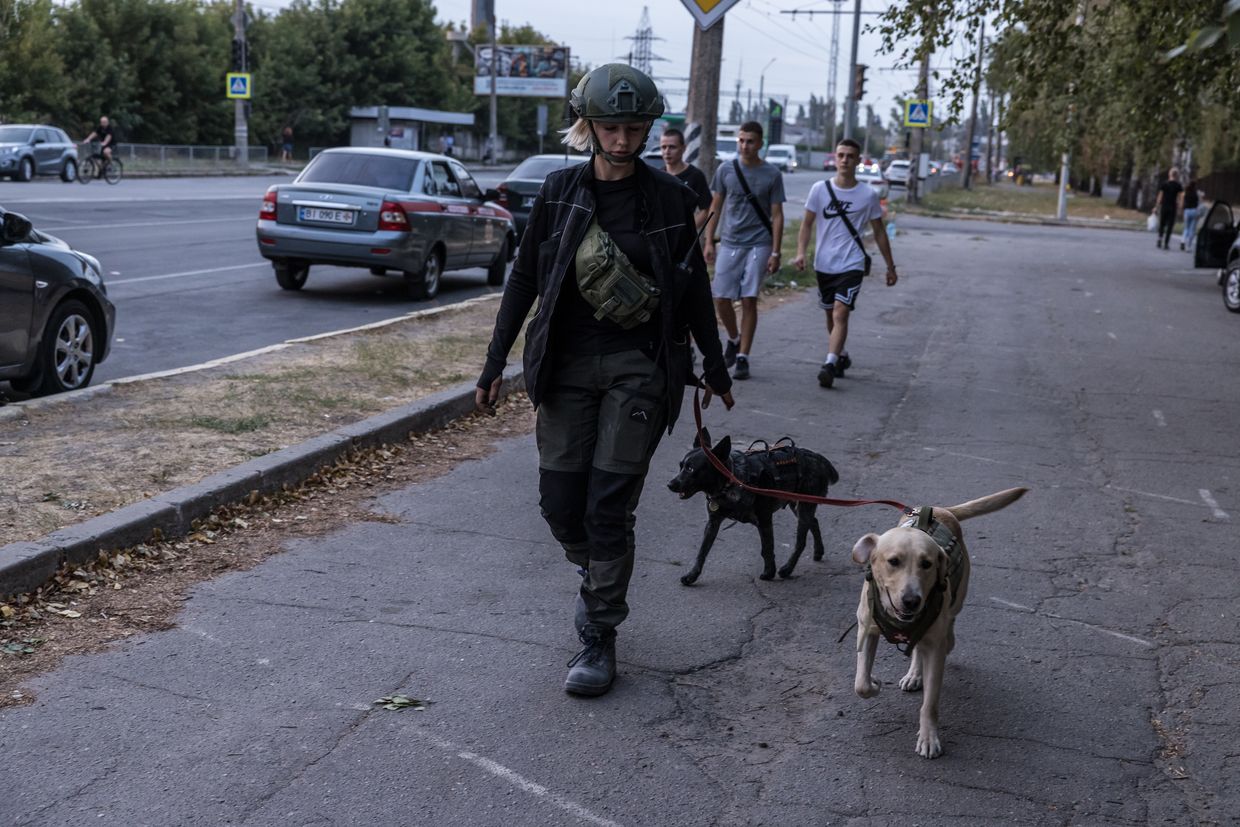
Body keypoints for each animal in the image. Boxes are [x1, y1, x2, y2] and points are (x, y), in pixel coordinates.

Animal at [669, 431, 843, 585]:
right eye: (680, 466)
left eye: (691, 469)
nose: (670, 484)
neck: (731, 480)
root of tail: (818, 458)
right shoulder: (713, 523)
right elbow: (702, 551)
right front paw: (692, 576)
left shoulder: (764, 520)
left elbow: (767, 548)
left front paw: (769, 572)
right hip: (799, 506)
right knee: (814, 521)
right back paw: (818, 551)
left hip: (803, 507)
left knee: (801, 541)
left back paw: (787, 569)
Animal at [853, 488, 1026, 758]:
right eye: (893, 561)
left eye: (927, 564)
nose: (912, 600)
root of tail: (944, 510)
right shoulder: (866, 629)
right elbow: (861, 684)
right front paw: (874, 683)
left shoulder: (935, 649)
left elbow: (930, 703)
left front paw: (928, 738)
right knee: (917, 648)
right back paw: (914, 674)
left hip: (957, 600)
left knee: (946, 627)